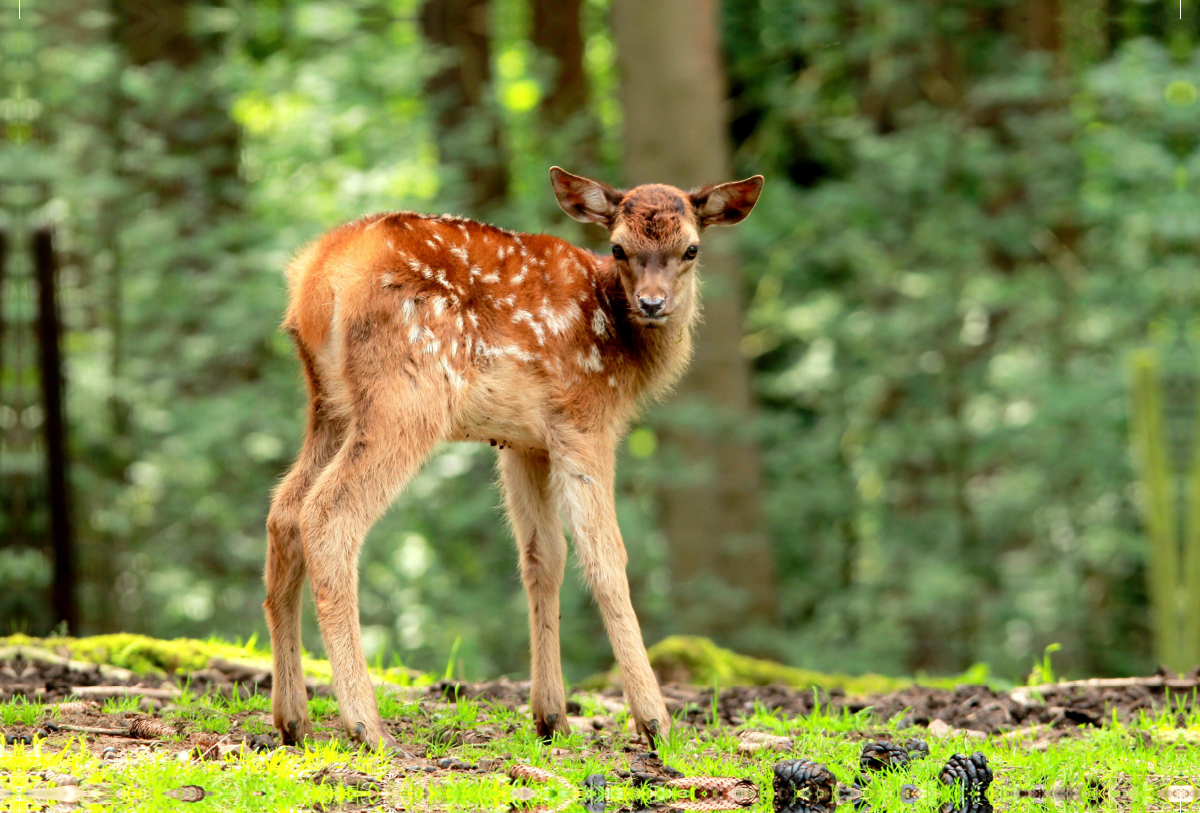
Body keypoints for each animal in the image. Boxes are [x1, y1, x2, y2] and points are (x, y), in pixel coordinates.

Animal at [266, 165, 763, 753]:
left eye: (690, 248)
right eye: (618, 247)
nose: (651, 303)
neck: (623, 347)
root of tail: (316, 283)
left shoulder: (524, 441)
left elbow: (543, 557)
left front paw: (551, 718)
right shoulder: (583, 418)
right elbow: (605, 557)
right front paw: (654, 721)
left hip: (329, 406)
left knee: (283, 511)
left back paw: (292, 720)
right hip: (406, 394)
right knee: (327, 515)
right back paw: (366, 725)